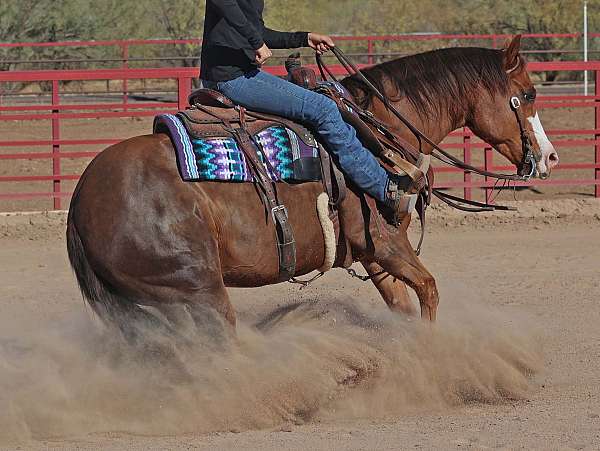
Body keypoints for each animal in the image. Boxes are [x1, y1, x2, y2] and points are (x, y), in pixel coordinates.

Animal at [68, 35, 560, 340]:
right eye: (529, 94)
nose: (551, 157)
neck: (374, 130)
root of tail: (80, 203)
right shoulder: (388, 244)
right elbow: (429, 290)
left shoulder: (373, 254)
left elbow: (405, 306)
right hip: (194, 291)